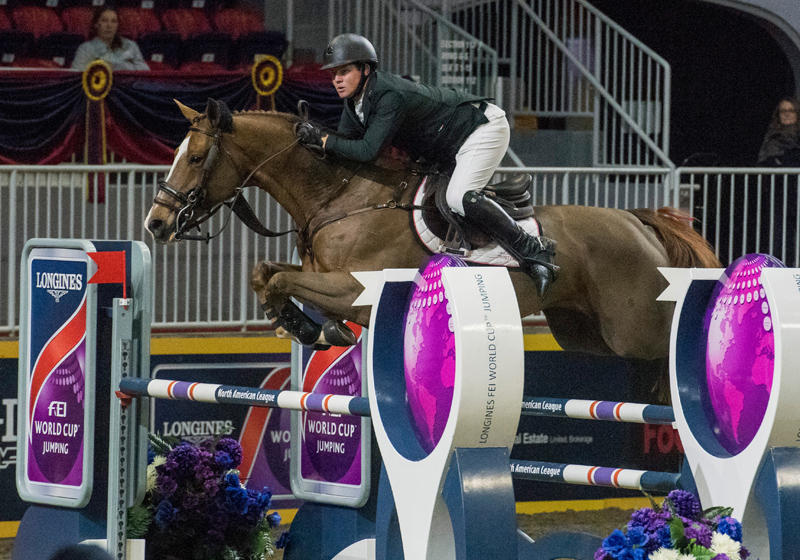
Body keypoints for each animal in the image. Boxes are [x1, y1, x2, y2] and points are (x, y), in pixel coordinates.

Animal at [145, 98, 724, 364]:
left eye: (194, 157)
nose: (155, 223)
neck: (339, 198)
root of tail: (637, 221)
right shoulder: (321, 274)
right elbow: (266, 272)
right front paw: (312, 328)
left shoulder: (357, 290)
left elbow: (282, 280)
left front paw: (308, 326)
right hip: (585, 333)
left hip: (634, 330)